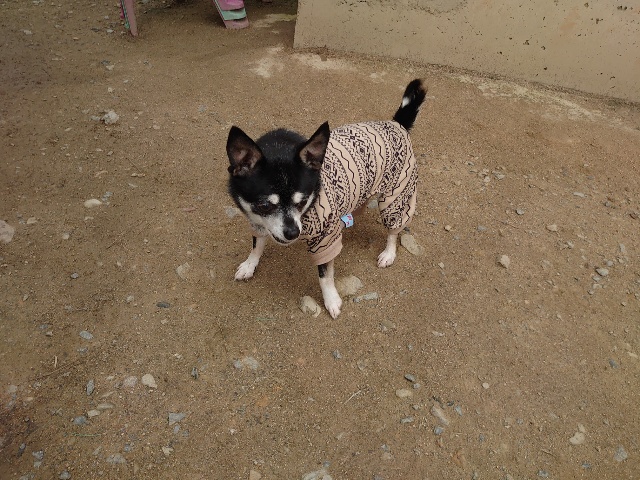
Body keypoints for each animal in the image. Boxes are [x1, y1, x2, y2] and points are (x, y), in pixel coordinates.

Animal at [226, 79, 426, 318]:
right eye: (264, 205)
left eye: (302, 202)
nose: (293, 233)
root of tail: (397, 123)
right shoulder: (257, 222)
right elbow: (257, 244)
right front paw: (250, 264)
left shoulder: (324, 238)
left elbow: (325, 275)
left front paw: (331, 299)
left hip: (394, 197)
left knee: (394, 229)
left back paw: (388, 252)